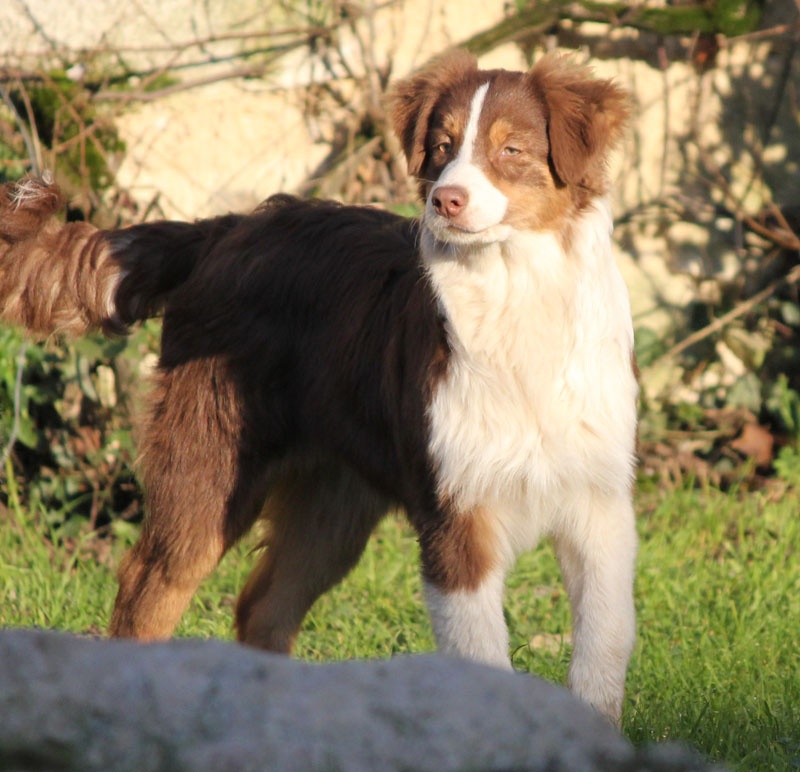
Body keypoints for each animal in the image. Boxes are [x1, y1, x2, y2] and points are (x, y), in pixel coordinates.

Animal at [0, 52, 636, 724]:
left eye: (511, 149)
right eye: (441, 147)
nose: (446, 200)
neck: (518, 295)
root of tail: (225, 228)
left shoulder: (600, 504)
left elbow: (604, 643)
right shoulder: (455, 516)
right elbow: (483, 661)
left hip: (334, 499)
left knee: (262, 606)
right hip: (209, 463)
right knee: (148, 586)